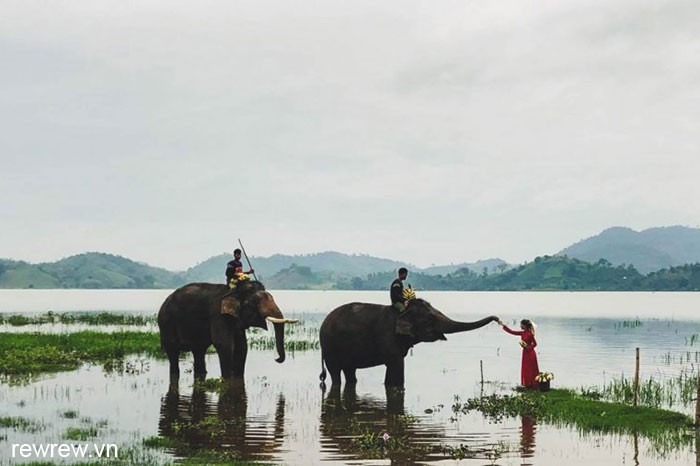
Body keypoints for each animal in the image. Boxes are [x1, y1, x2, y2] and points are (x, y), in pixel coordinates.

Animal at [157, 282, 296, 380]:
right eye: (254, 303)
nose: (277, 359)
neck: (233, 291)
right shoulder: (218, 315)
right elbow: (224, 344)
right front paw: (227, 379)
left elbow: (242, 347)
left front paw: (238, 377)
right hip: (166, 322)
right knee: (173, 351)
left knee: (199, 350)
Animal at [318, 298, 498, 390]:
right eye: (430, 318)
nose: (496, 318)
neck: (402, 311)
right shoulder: (388, 337)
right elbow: (397, 367)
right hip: (329, 347)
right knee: (335, 373)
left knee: (350, 372)